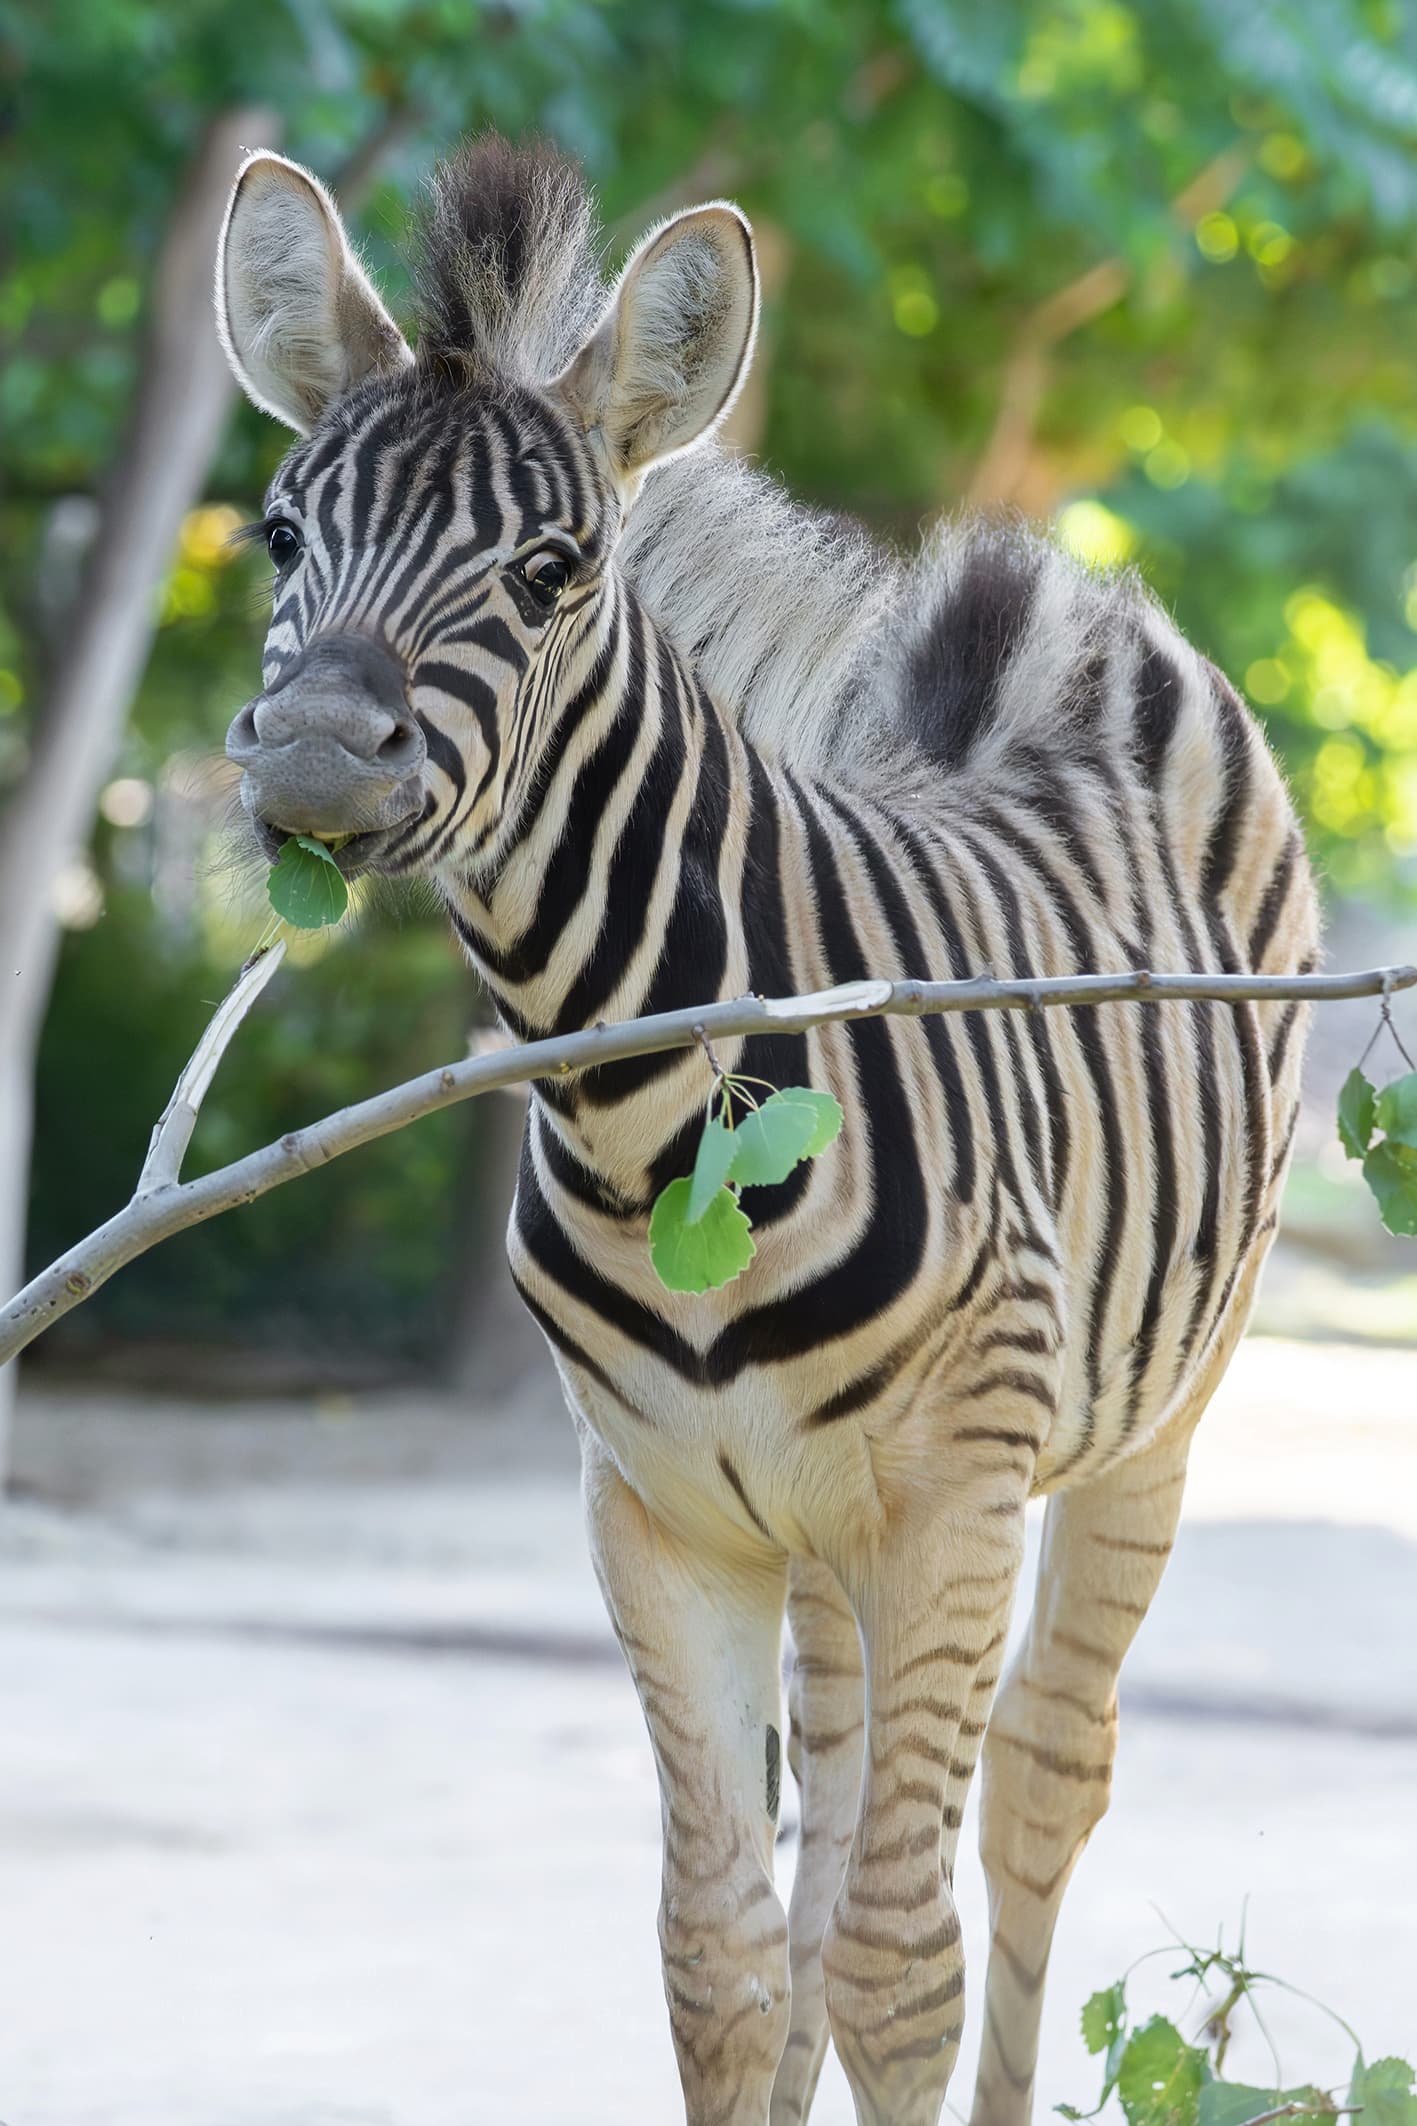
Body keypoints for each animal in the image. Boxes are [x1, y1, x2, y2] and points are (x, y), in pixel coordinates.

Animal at [214, 134, 1319, 2126]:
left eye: (554, 567)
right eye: (279, 536)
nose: (316, 759)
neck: (653, 1125)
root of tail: (1050, 595)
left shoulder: (953, 1497)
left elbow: (898, 1966)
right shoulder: (661, 1517)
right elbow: (721, 1961)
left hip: (1148, 1421)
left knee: (1038, 1785)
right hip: (815, 1531)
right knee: (841, 1809)